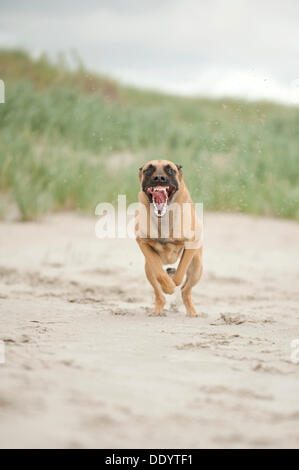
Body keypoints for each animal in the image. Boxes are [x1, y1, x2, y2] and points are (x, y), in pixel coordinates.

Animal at [137, 160, 204, 318]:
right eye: (148, 170)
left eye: (170, 170)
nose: (159, 178)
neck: (164, 219)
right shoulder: (142, 242)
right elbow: (160, 273)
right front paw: (168, 286)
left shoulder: (190, 243)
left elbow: (180, 274)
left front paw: (173, 282)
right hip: (148, 269)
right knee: (159, 293)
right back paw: (157, 309)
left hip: (197, 267)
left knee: (185, 290)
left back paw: (191, 311)